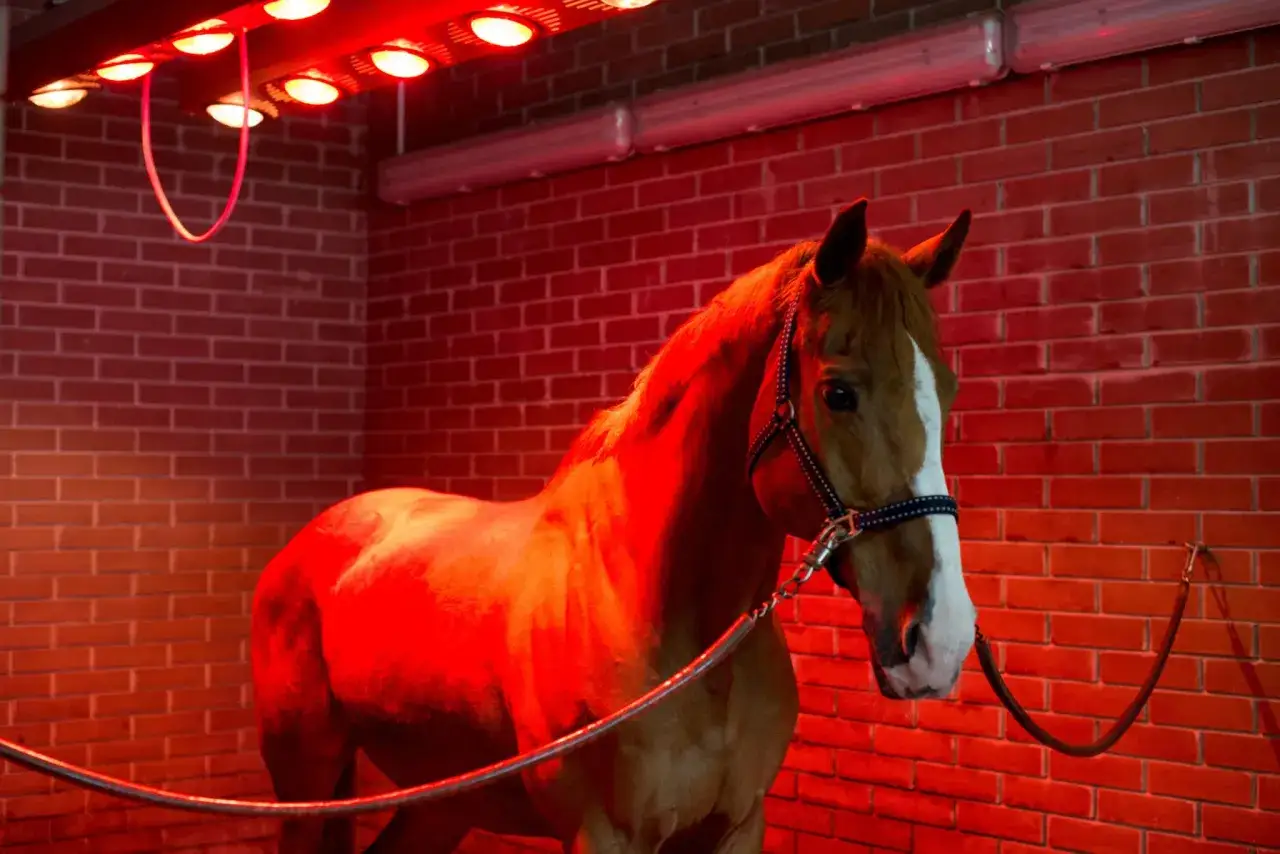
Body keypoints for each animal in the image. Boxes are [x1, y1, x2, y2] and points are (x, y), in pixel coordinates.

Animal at [249, 198, 978, 854]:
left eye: (947, 391)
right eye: (838, 393)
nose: (940, 641)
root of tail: (307, 544)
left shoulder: (737, 827)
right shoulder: (602, 835)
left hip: (444, 800)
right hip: (305, 785)